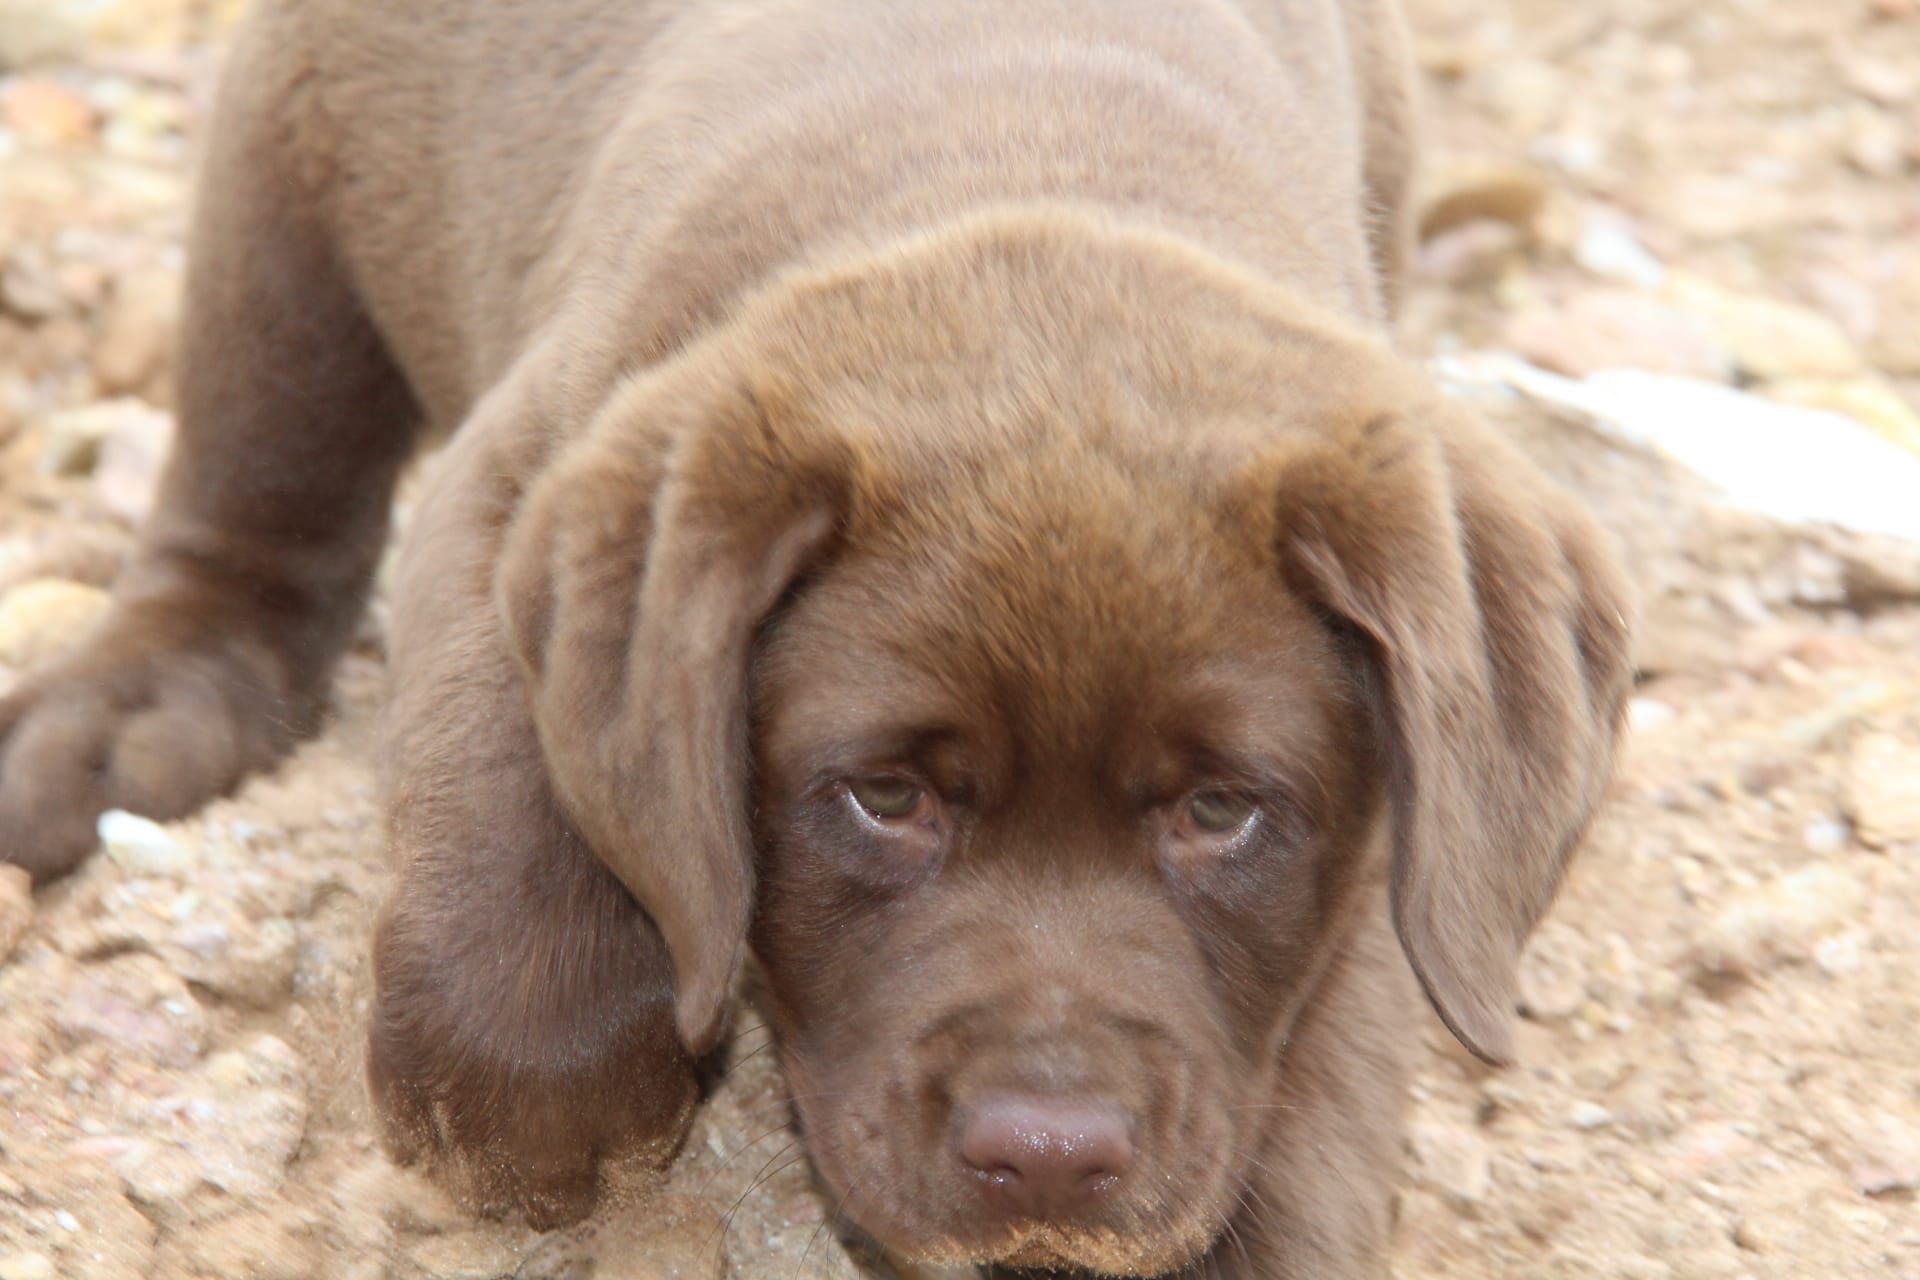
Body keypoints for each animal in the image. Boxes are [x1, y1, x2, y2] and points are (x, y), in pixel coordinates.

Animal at [0, 0, 1635, 1274]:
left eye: (1224, 810)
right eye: (884, 796)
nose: (1048, 1154)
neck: (1023, 159)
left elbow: (1323, 1075)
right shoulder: (531, 463)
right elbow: (508, 834)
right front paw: (546, 1105)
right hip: (295, 171)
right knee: (259, 482)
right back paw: (119, 717)